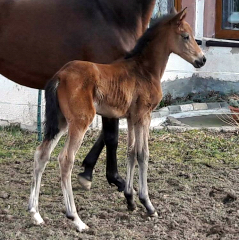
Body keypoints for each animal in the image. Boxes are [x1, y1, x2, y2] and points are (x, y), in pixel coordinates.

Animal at [28, 8, 205, 232]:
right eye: (185, 36)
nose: (202, 60)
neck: (144, 70)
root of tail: (60, 75)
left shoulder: (130, 118)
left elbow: (130, 153)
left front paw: (130, 199)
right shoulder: (144, 116)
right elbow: (143, 154)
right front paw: (148, 204)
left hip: (60, 122)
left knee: (41, 155)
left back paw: (35, 213)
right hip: (80, 121)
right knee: (65, 159)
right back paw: (76, 219)